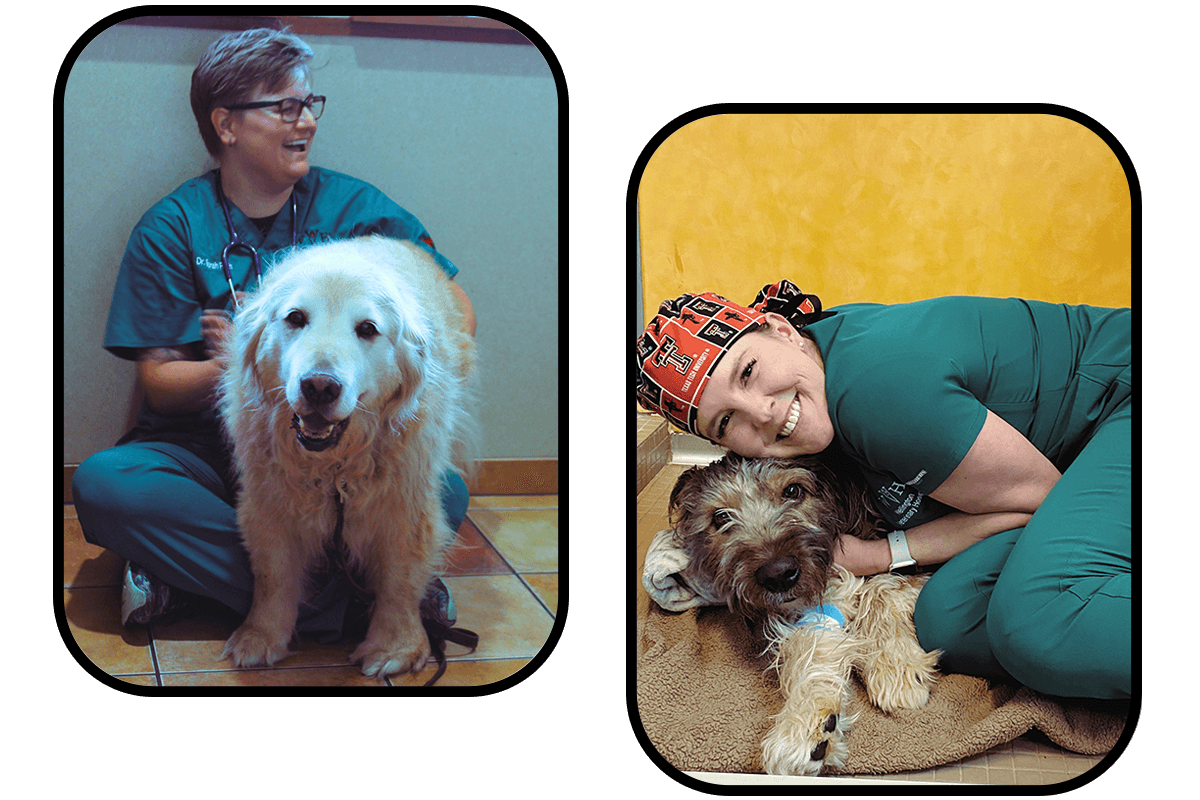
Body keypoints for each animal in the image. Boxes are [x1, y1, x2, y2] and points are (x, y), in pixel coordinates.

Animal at [218, 235, 475, 681]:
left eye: (367, 329)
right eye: (296, 318)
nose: (320, 386)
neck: (335, 467)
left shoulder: (403, 502)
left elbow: (399, 580)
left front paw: (396, 646)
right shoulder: (270, 499)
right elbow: (273, 574)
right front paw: (261, 635)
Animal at [667, 450, 936, 777]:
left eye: (793, 491)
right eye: (720, 517)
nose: (778, 574)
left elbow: (882, 588)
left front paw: (898, 669)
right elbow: (810, 642)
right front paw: (807, 721)